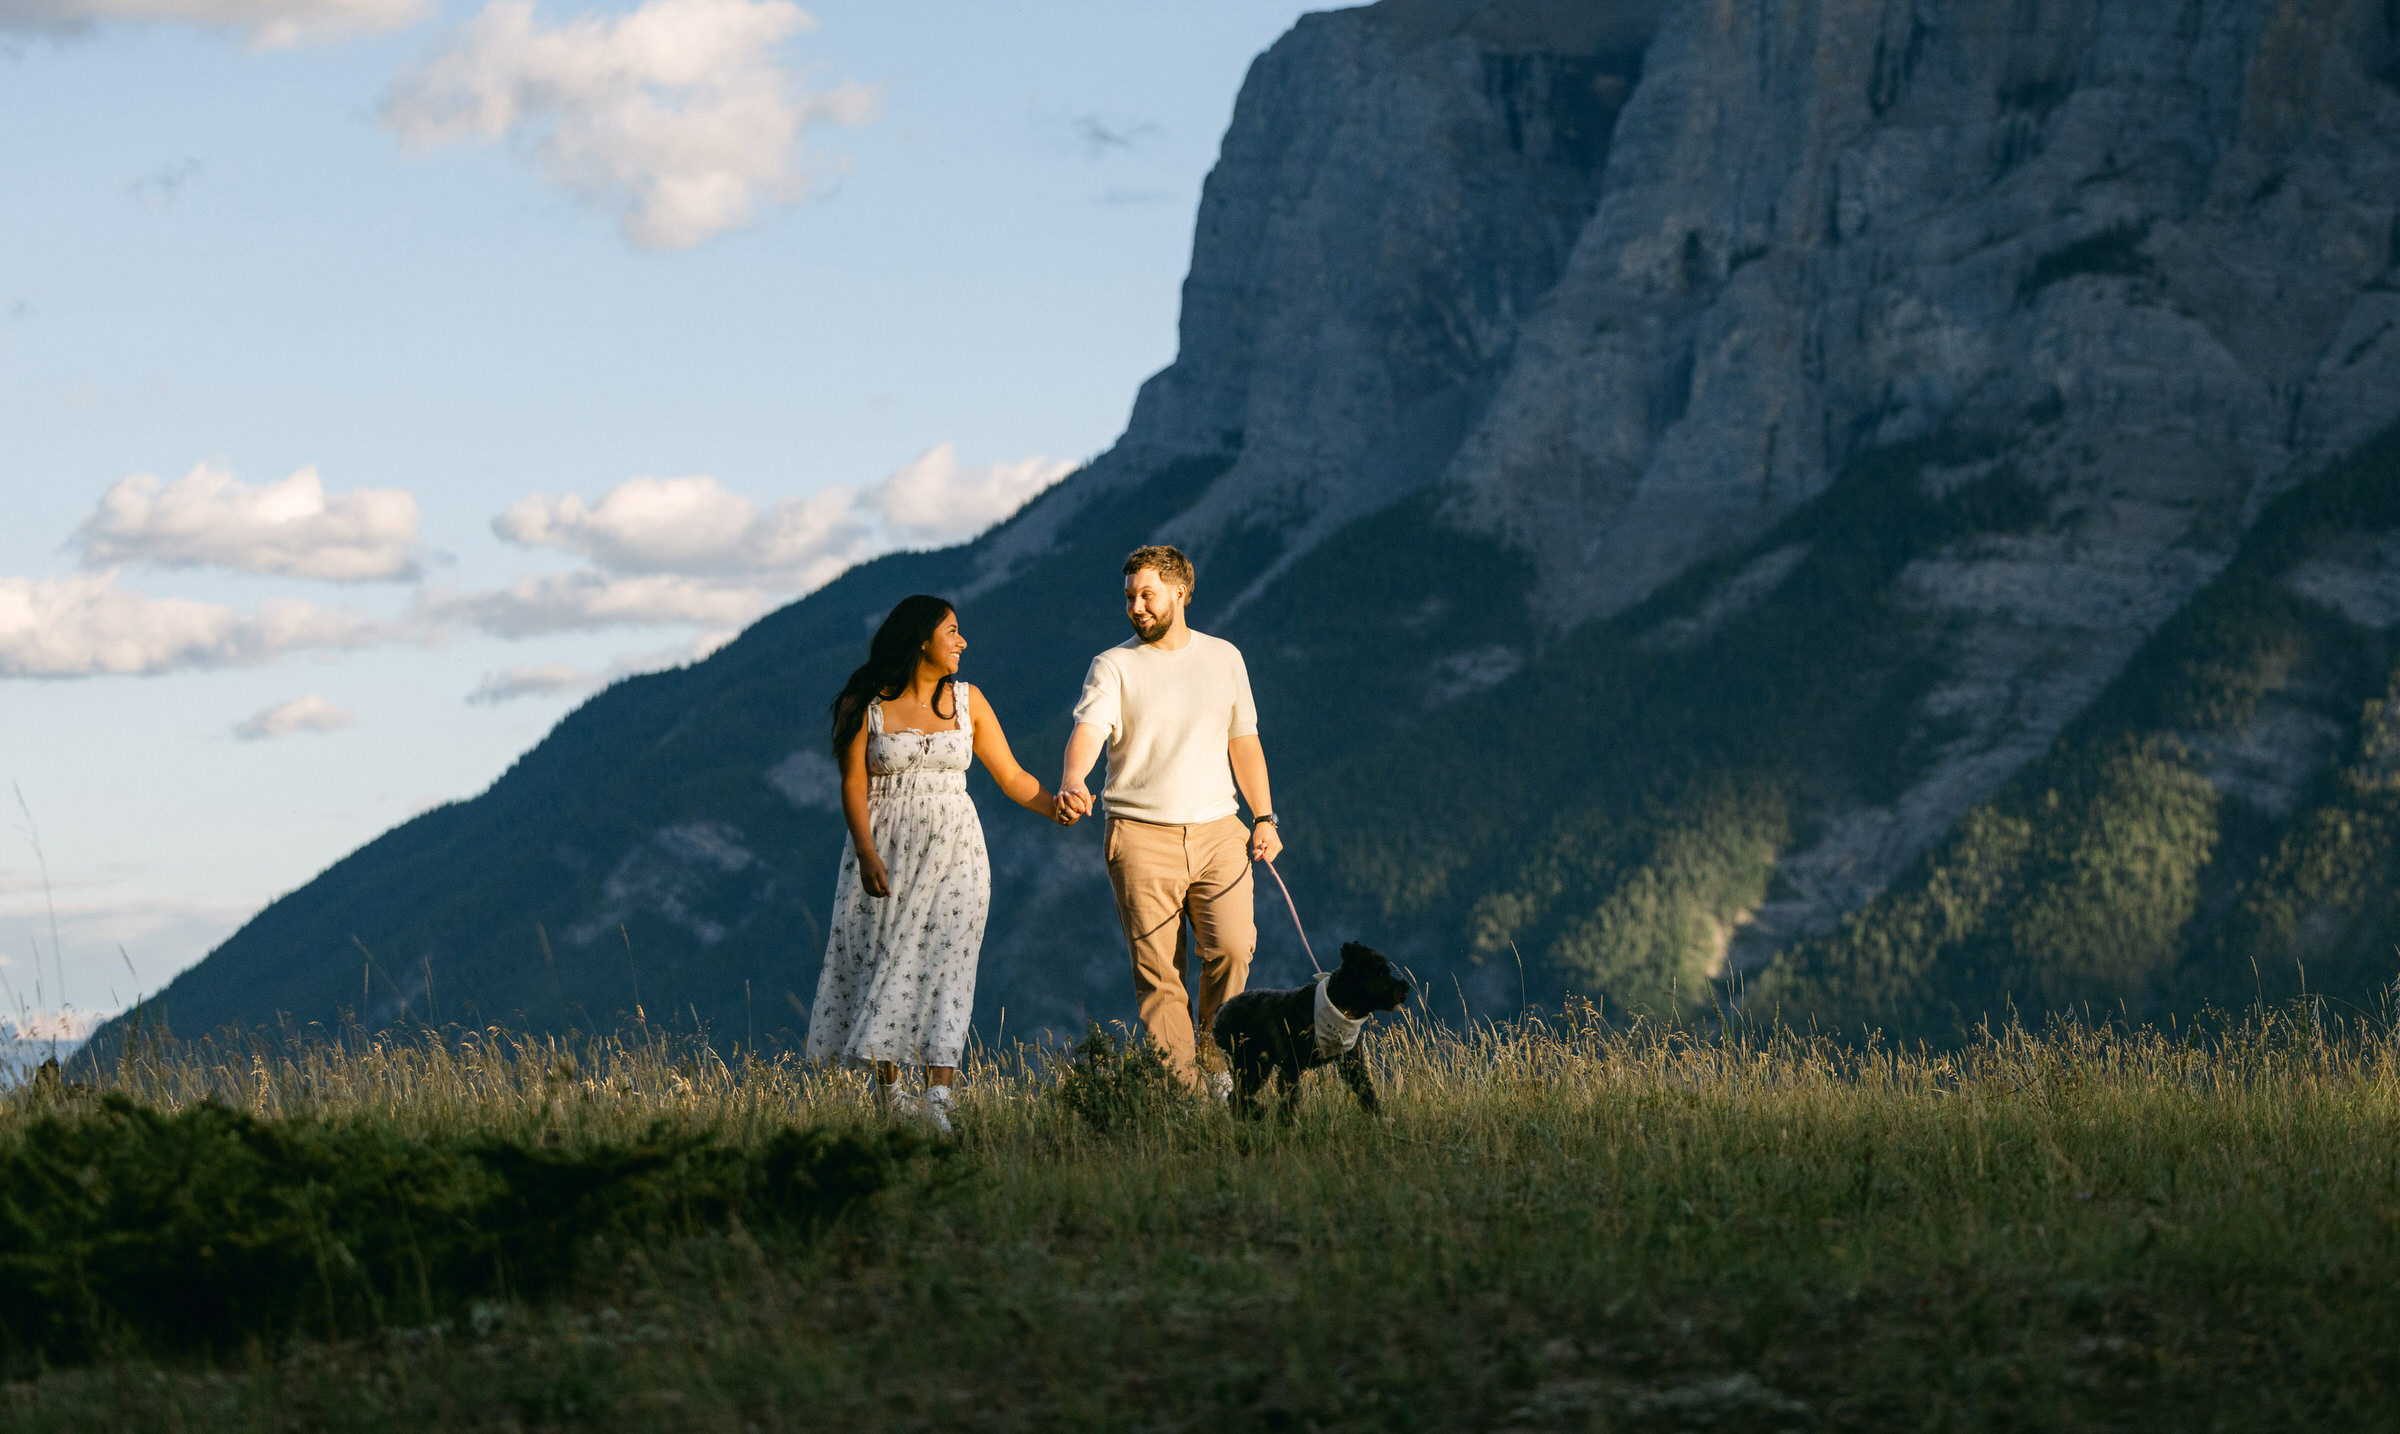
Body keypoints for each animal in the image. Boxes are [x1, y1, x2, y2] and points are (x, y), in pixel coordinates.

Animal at [1219, 944, 1401, 1122]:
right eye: (1379, 973)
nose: (1403, 987)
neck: (1337, 1002)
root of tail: (1221, 1011)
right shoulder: (1291, 1066)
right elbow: (1290, 1099)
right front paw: (1288, 1123)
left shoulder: (1353, 1062)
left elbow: (1366, 1091)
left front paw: (1380, 1118)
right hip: (1250, 1064)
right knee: (1237, 1096)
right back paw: (1256, 1113)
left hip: (1257, 1066)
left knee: (1237, 1096)